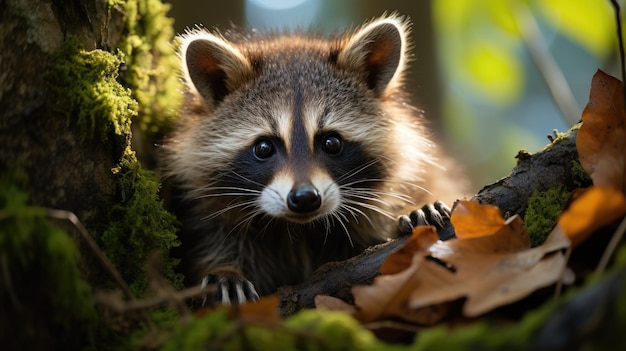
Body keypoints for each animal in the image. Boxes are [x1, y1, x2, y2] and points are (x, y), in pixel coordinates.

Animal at [161, 14, 458, 306]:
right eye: (264, 147)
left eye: (331, 143)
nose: (304, 198)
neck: (298, 229)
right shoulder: (209, 216)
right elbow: (216, 244)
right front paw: (225, 270)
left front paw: (413, 208)